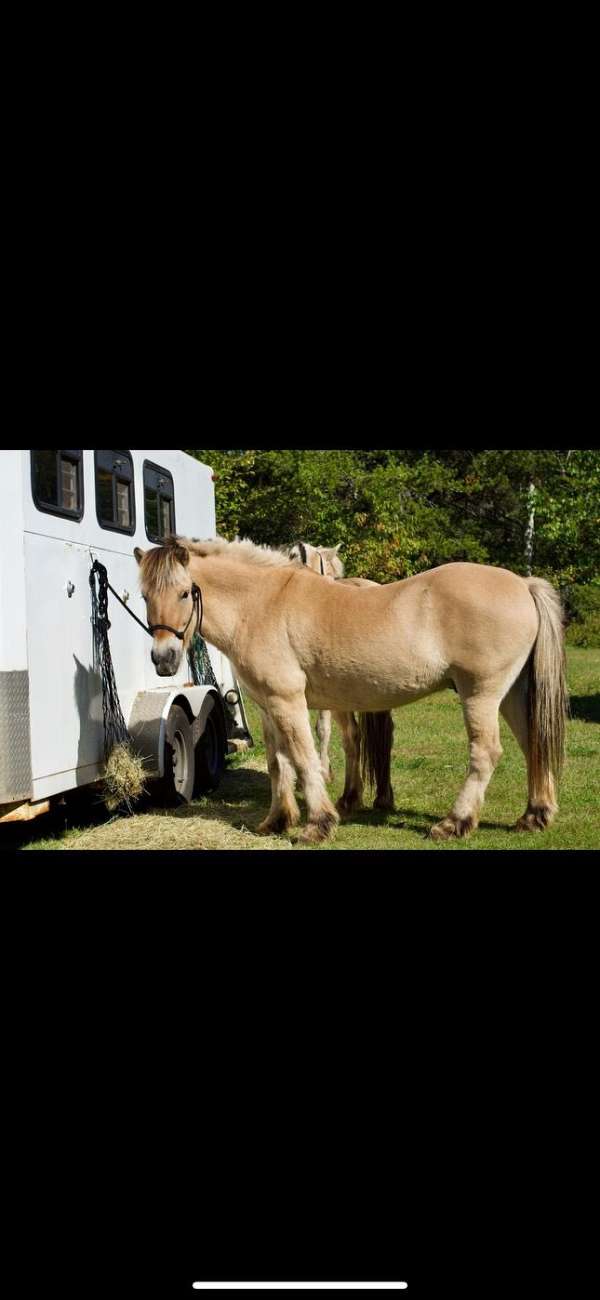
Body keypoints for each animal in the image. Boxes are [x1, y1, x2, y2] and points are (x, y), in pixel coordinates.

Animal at [135, 535, 566, 847]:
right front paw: (276, 820)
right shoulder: (267, 706)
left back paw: (454, 822)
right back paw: (534, 816)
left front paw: (318, 824)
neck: (261, 604)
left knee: (486, 753)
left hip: (480, 694)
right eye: (145, 596)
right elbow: (279, 763)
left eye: (185, 593)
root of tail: (522, 583)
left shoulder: (288, 701)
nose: (163, 659)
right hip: (511, 695)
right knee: (533, 742)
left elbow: (305, 758)